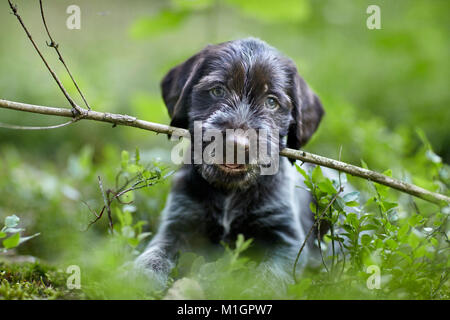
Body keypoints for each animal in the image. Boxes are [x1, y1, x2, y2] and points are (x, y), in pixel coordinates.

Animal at [135, 37, 326, 290]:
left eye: (271, 102)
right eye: (217, 91)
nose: (236, 144)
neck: (229, 191)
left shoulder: (285, 239)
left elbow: (270, 275)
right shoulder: (178, 224)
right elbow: (155, 255)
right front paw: (134, 280)